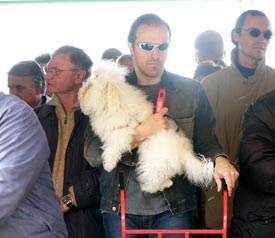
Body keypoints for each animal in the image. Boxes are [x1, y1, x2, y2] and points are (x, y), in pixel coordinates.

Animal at [78, 60, 215, 193]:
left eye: (90, 86)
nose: (81, 91)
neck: (114, 103)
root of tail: (183, 151)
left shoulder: (121, 133)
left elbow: (111, 149)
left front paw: (109, 165)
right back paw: (167, 183)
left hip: (153, 164)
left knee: (154, 181)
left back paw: (148, 187)